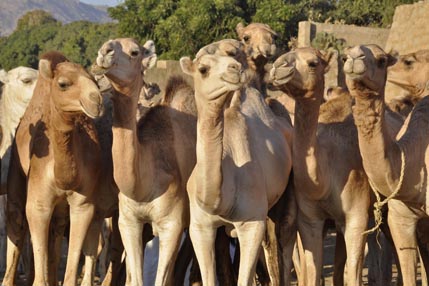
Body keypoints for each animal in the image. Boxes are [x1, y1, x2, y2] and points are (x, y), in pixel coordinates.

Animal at [2, 52, 105, 286]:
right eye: (63, 84)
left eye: (95, 82)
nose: (96, 100)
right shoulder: (38, 204)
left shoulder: (84, 205)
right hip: (15, 178)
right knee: (16, 221)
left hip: (61, 210)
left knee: (56, 231)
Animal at [179, 40, 292, 284]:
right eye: (203, 68)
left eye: (231, 56)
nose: (235, 69)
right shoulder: (199, 226)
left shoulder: (252, 223)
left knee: (280, 239)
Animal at [270, 47, 404, 286]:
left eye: (313, 63)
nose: (277, 66)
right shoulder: (310, 220)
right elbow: (312, 274)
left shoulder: (355, 218)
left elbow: (353, 274)